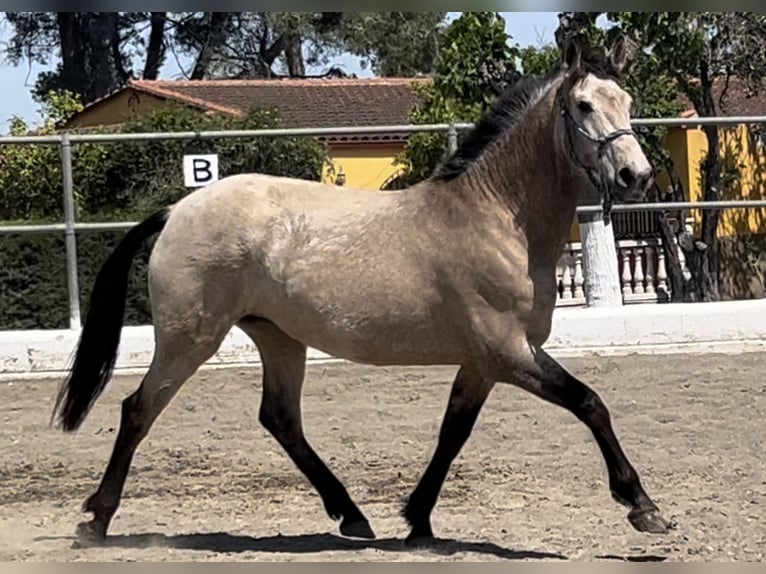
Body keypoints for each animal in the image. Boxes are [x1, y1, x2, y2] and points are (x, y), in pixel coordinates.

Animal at [51, 36, 672, 548]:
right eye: (584, 105)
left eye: (627, 99)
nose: (636, 177)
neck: (497, 215)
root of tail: (179, 208)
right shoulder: (508, 351)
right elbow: (589, 403)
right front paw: (642, 507)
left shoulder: (483, 361)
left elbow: (453, 432)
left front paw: (418, 521)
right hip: (190, 338)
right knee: (139, 409)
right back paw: (95, 520)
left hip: (278, 337)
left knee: (280, 418)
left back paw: (351, 515)